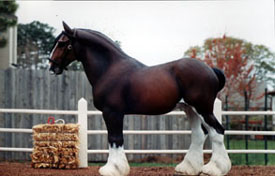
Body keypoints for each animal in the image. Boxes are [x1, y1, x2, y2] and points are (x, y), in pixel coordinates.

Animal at [48, 22, 232, 176]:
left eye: (63, 43)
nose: (51, 66)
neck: (109, 69)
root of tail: (211, 70)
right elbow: (115, 139)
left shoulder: (112, 112)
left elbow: (115, 139)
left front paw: (113, 169)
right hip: (190, 109)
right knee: (199, 134)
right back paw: (187, 168)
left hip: (202, 108)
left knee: (217, 131)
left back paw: (214, 169)